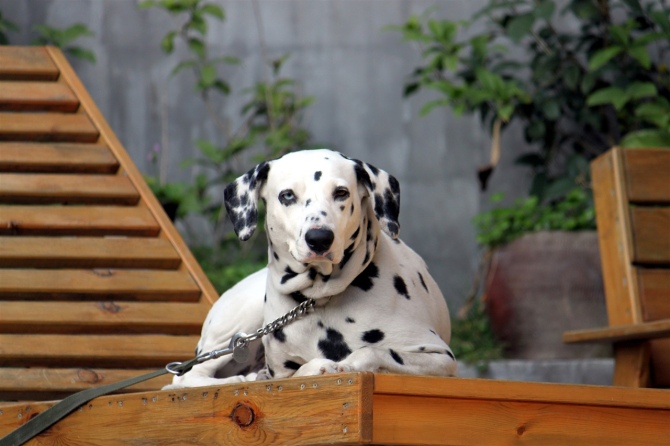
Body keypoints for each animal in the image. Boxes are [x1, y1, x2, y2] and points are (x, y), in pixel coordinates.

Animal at [168, 148, 460, 388]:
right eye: (287, 195)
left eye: (341, 192)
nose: (319, 238)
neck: (317, 299)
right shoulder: (279, 371)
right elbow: (294, 373)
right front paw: (317, 366)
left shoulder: (440, 356)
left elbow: (375, 350)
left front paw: (346, 363)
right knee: (185, 378)